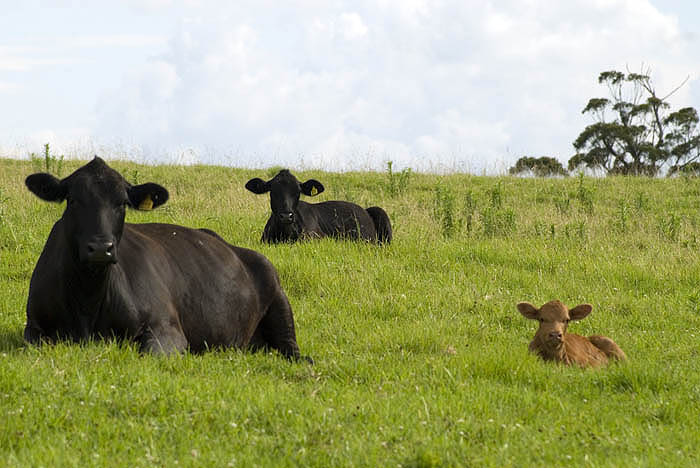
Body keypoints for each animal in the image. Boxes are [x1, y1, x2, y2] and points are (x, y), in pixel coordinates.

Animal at [24, 157, 310, 362]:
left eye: (122, 203)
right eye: (72, 200)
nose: (101, 248)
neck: (88, 298)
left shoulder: (167, 328)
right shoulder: (33, 327)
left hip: (278, 297)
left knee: (291, 347)